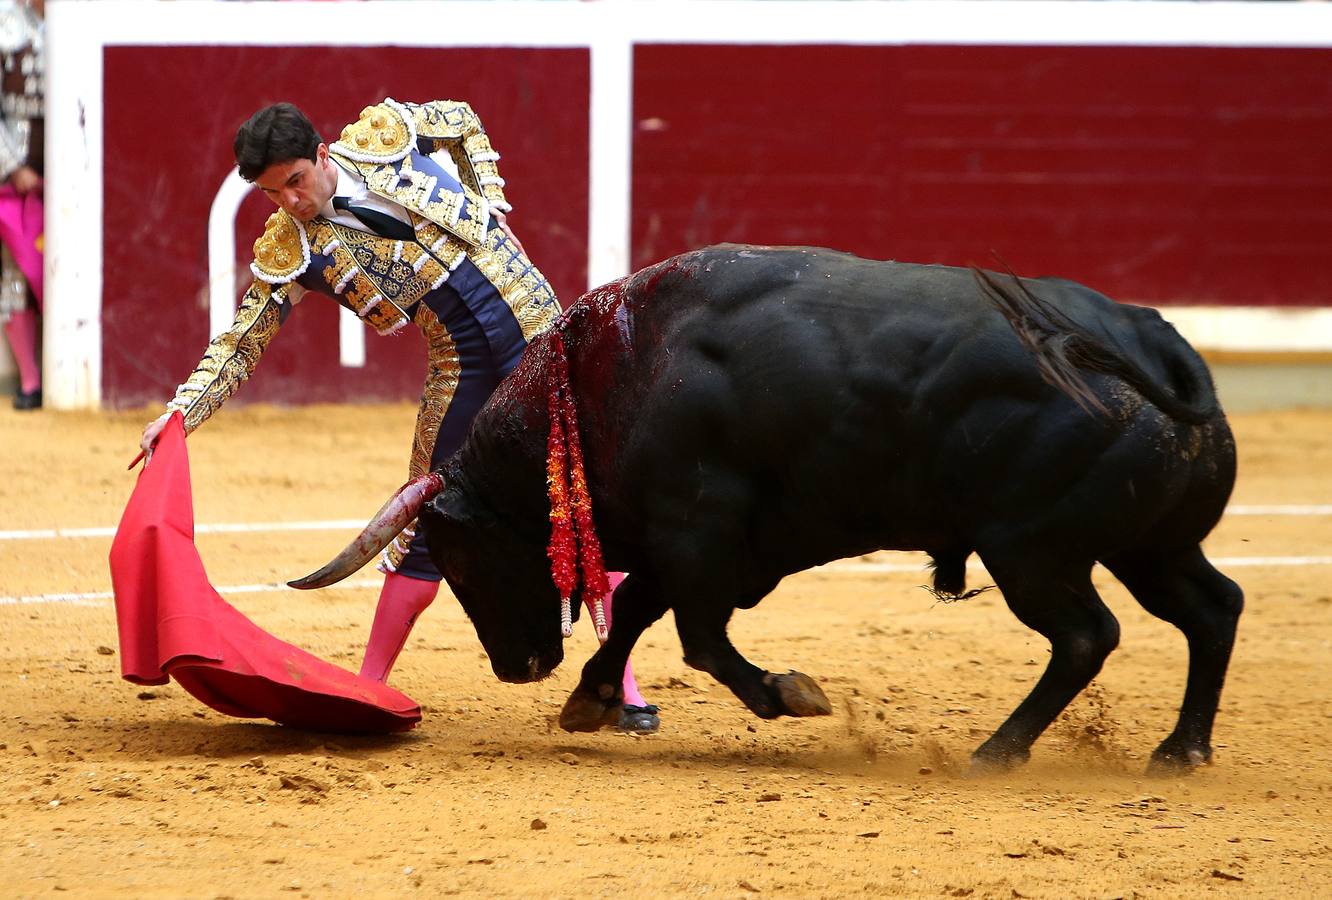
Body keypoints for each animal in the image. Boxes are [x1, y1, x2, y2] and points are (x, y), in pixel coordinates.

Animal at [297, 246, 1241, 772]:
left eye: (466, 558)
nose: (517, 668)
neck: (611, 375)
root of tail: (1152, 342)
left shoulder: (701, 535)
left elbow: (698, 638)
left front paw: (791, 694)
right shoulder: (683, 542)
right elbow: (638, 612)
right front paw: (591, 700)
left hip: (1031, 551)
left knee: (1086, 636)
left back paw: (998, 751)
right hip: (1150, 546)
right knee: (1211, 608)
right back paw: (1179, 750)